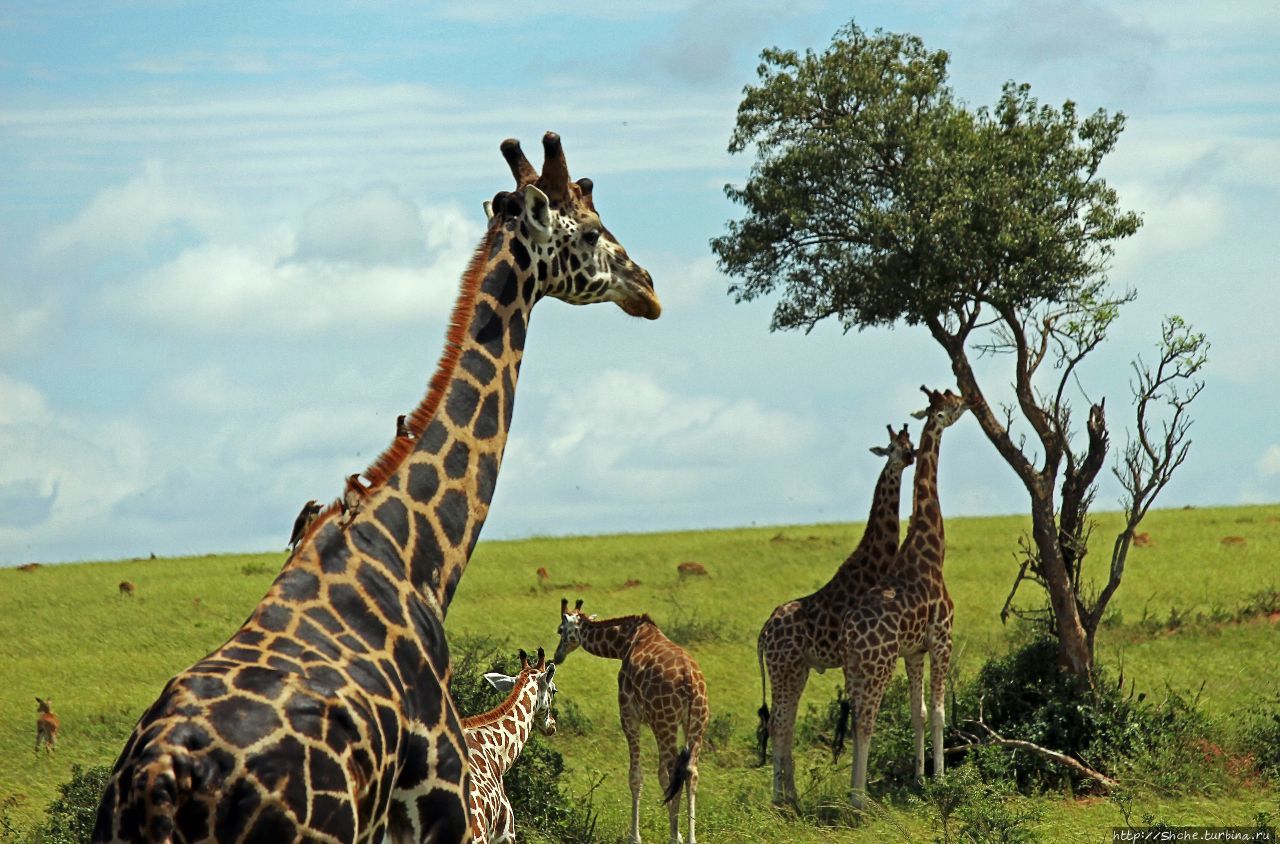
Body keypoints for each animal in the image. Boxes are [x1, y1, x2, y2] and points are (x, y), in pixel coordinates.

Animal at [552, 601, 711, 844]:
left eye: (560, 630)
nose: (557, 656)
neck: (624, 642)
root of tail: (690, 680)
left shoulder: (628, 714)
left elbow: (636, 777)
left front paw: (636, 836)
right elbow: (660, 776)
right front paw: (680, 833)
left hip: (665, 722)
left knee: (674, 771)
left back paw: (673, 837)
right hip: (696, 723)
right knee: (691, 772)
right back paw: (690, 838)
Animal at [752, 422, 916, 804]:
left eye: (909, 441)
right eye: (891, 447)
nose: (910, 456)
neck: (872, 565)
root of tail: (763, 633)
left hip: (796, 669)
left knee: (786, 723)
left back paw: (792, 797)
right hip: (785, 667)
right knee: (779, 723)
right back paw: (780, 798)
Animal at [839, 386, 967, 809]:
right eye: (951, 404)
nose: (970, 401)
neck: (930, 550)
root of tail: (849, 633)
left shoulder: (913, 651)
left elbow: (918, 711)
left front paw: (919, 777)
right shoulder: (942, 638)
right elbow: (940, 712)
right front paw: (941, 779)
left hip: (854, 667)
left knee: (856, 718)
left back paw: (854, 791)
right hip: (877, 665)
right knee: (866, 721)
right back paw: (859, 799)